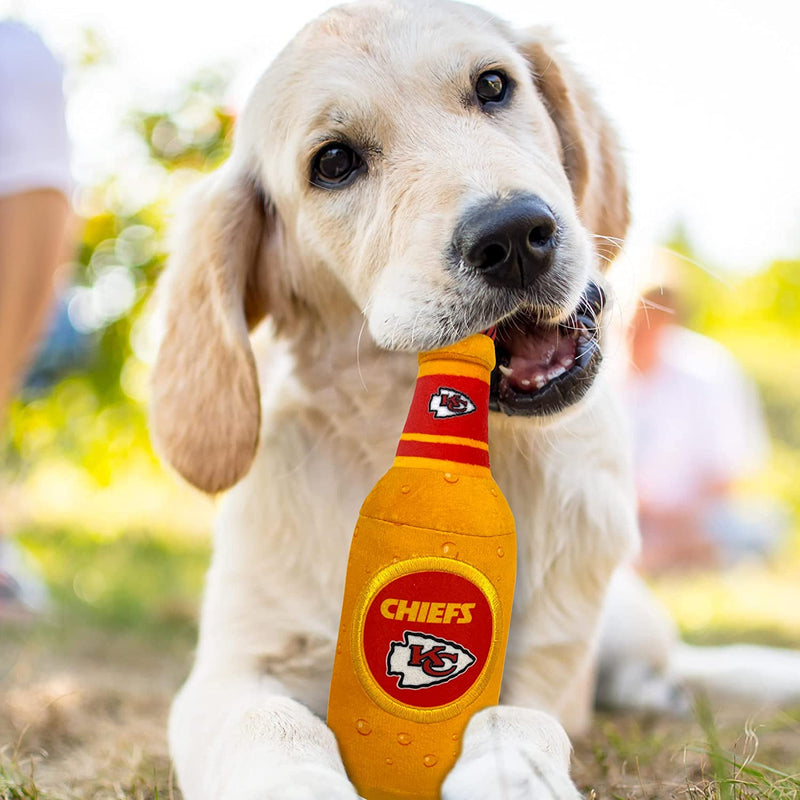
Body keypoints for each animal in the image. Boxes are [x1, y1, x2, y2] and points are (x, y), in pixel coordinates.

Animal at [148, 3, 636, 796]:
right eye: (334, 163)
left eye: (493, 86)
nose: (515, 236)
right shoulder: (230, 669)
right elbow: (270, 723)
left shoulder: (549, 668)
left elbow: (514, 717)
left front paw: (512, 776)